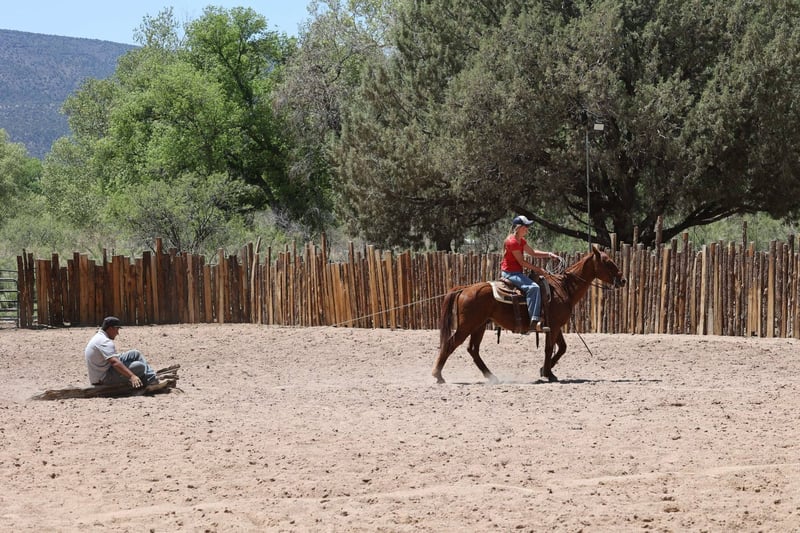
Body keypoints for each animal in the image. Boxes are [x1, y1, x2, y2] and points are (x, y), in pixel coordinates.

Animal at [432, 245, 626, 384]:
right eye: (608, 262)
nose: (623, 280)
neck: (564, 288)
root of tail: (465, 288)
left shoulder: (555, 326)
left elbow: (562, 348)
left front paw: (547, 371)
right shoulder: (554, 326)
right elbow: (549, 348)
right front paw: (547, 372)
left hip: (479, 326)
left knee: (473, 350)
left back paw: (491, 376)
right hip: (467, 326)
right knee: (450, 344)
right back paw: (438, 375)